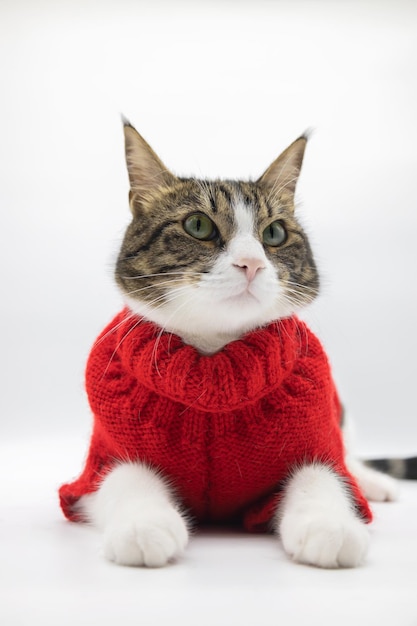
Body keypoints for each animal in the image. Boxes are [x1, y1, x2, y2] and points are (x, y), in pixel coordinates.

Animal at [58, 119, 400, 568]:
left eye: (274, 233)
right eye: (198, 226)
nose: (251, 263)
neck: (214, 367)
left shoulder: (314, 434)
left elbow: (322, 473)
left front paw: (331, 526)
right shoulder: (100, 462)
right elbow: (124, 476)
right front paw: (143, 525)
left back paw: (374, 480)